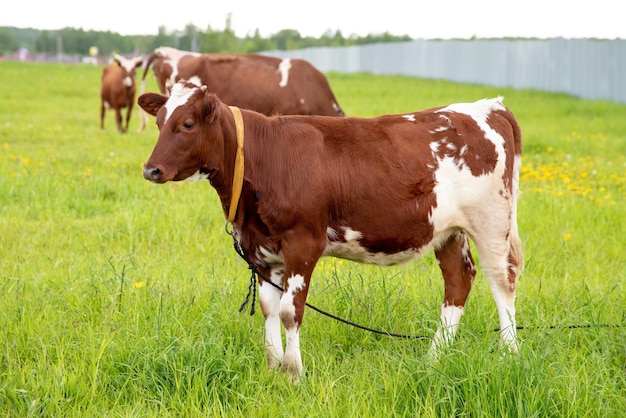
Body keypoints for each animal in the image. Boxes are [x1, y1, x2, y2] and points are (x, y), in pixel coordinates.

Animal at [138, 80, 520, 384]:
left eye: (187, 124)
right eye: (159, 122)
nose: (150, 169)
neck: (265, 158)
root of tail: (488, 107)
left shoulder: (303, 242)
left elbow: (290, 311)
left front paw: (293, 373)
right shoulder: (262, 249)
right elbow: (269, 308)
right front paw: (273, 367)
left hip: (491, 221)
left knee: (503, 281)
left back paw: (509, 355)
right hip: (448, 230)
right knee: (458, 279)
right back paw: (434, 358)